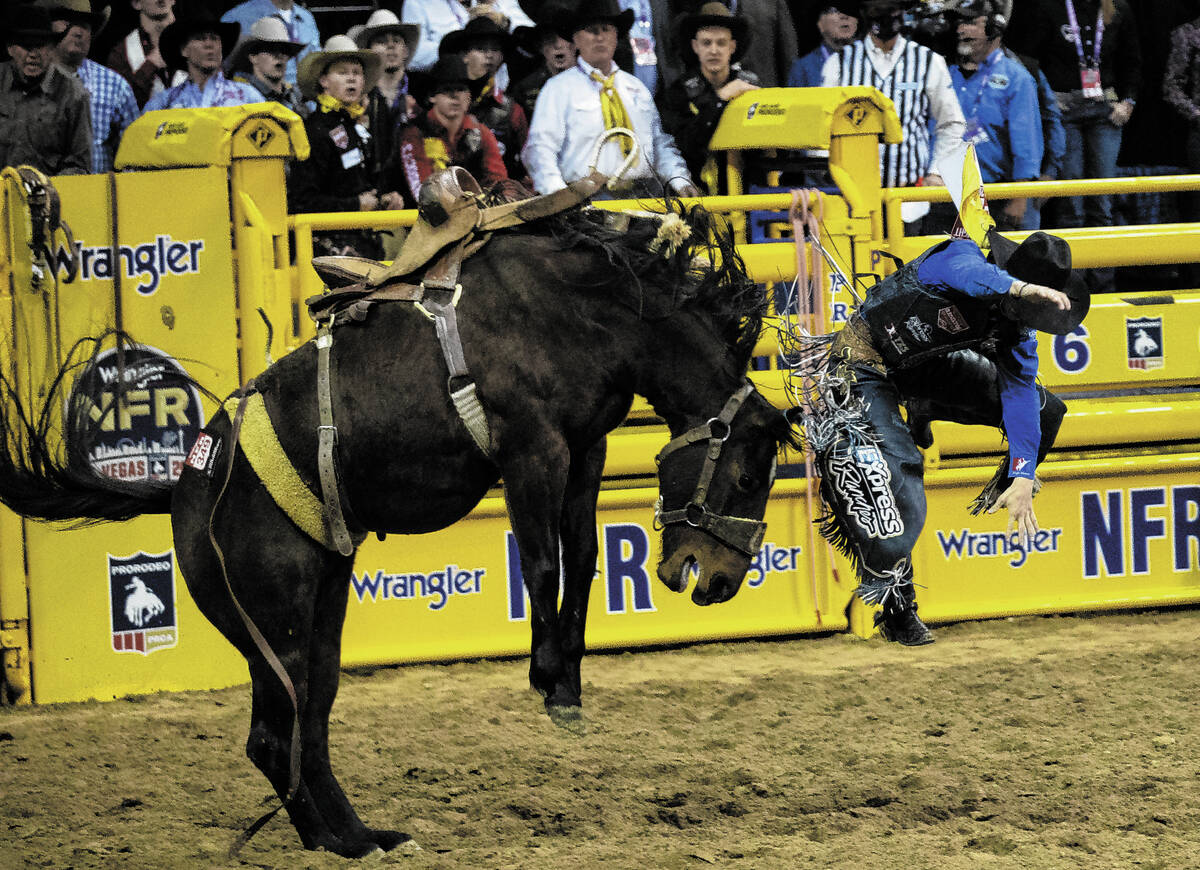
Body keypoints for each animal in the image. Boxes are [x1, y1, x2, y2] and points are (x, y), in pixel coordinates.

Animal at [0, 198, 796, 854]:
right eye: (750, 476)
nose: (722, 580)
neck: (586, 309)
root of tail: (189, 480)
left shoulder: (586, 448)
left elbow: (583, 558)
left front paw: (568, 683)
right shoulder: (532, 449)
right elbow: (541, 562)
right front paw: (547, 679)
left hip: (321, 606)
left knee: (309, 723)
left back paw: (355, 836)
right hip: (269, 615)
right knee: (273, 735)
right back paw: (342, 842)